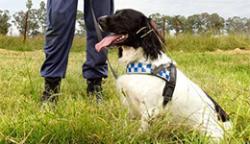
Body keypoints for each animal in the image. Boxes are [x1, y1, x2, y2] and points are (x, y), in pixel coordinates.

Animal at [94, 8, 231, 142]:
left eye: (124, 16)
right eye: (116, 12)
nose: (99, 19)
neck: (142, 62)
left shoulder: (149, 109)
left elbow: (141, 130)